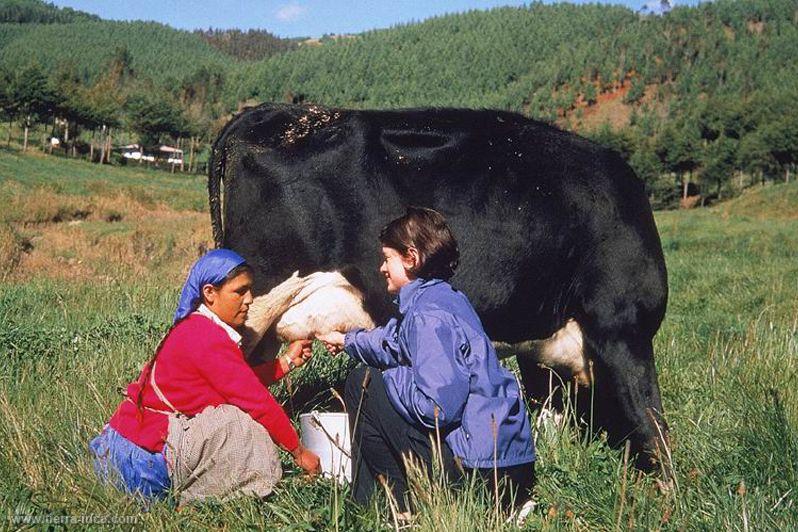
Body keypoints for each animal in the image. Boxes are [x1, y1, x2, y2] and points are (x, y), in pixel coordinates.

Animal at [209, 103, 672, 470]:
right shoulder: (623, 325)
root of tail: (272, 112)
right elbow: (650, 419)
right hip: (254, 304)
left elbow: (549, 414)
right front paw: (667, 491)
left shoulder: (542, 348)